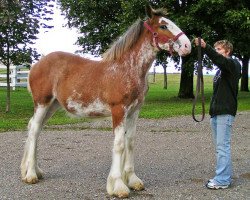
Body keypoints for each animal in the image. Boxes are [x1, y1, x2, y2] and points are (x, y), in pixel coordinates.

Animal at [21, 5, 191, 198]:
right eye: (163, 26)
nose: (187, 45)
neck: (127, 69)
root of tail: (36, 65)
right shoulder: (118, 110)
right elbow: (119, 144)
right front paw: (118, 186)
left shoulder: (134, 112)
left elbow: (130, 142)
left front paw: (133, 180)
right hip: (42, 103)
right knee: (34, 130)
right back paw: (31, 175)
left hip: (52, 105)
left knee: (35, 129)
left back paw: (34, 170)